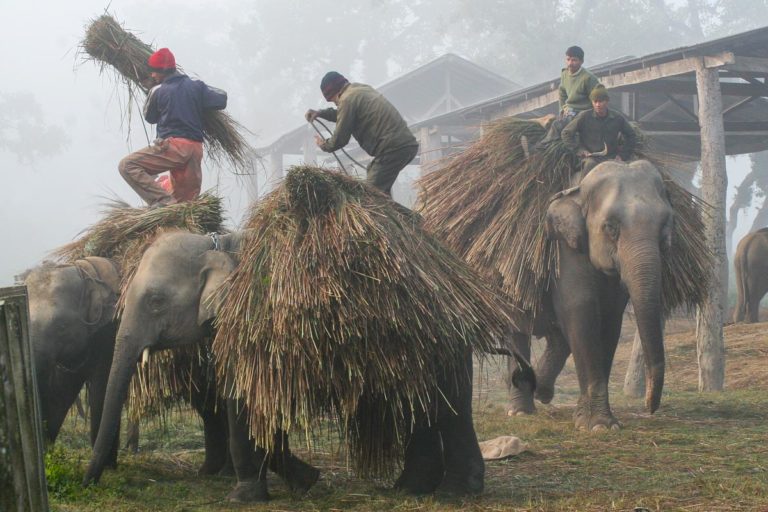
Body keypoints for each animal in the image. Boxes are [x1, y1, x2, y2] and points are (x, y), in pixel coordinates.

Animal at [83, 230, 320, 502]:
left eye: (156, 301)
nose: (87, 484)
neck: (215, 244)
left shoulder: (253, 318)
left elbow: (243, 391)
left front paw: (242, 496)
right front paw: (306, 481)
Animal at [510, 158, 672, 430]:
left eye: (664, 227)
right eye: (611, 227)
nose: (649, 407)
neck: (579, 190)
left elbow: (609, 320)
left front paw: (589, 419)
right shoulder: (565, 249)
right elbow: (582, 310)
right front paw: (599, 425)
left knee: (558, 336)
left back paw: (542, 391)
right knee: (514, 331)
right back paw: (520, 411)